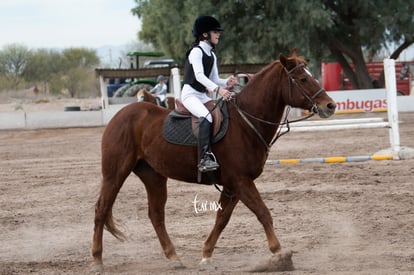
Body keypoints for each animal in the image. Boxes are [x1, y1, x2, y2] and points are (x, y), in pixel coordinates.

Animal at [91, 48, 336, 272]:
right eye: (303, 79)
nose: (330, 105)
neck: (245, 123)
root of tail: (120, 115)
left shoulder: (232, 185)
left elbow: (222, 218)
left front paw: (206, 254)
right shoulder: (240, 180)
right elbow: (263, 212)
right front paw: (279, 254)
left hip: (154, 176)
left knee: (156, 215)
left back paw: (173, 257)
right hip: (115, 173)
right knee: (101, 209)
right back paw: (97, 259)